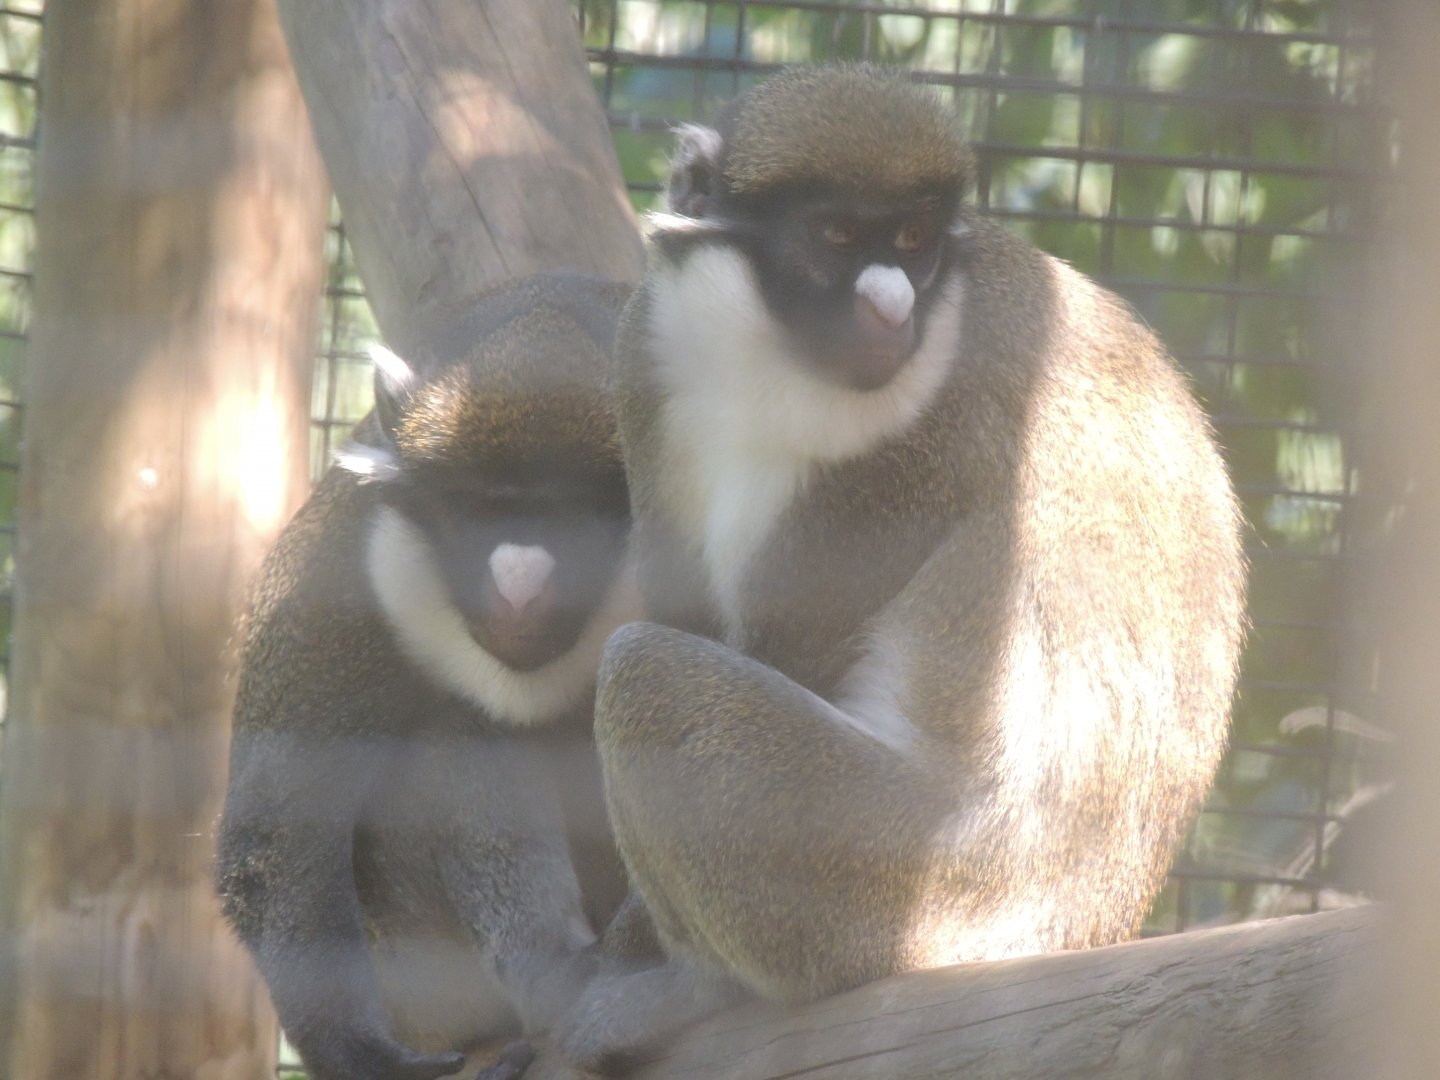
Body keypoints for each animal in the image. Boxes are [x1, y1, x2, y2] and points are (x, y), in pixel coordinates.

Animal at [214, 272, 639, 1080]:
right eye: (478, 506)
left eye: (578, 513)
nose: (519, 583)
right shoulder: (332, 569)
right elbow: (278, 829)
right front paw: (357, 1054)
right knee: (452, 728)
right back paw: (553, 977)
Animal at [551, 65, 1248, 1072]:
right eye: (837, 237)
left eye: (914, 243)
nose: (892, 306)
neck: (766, 363)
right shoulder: (645, 355)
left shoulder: (946, 420)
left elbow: (777, 649)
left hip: (891, 879)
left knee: (645, 673)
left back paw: (702, 987)